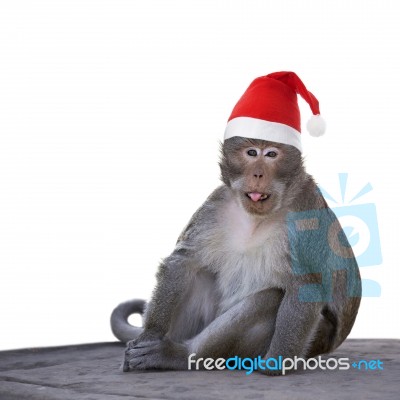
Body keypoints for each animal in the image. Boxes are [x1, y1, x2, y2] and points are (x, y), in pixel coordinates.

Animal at [110, 72, 362, 376]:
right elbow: (183, 261)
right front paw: (149, 334)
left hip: (314, 339)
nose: (258, 174)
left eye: (271, 154)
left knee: (270, 299)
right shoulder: (216, 204)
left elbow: (305, 288)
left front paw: (275, 364)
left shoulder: (306, 211)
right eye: (251, 152)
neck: (256, 217)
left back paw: (181, 355)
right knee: (202, 273)